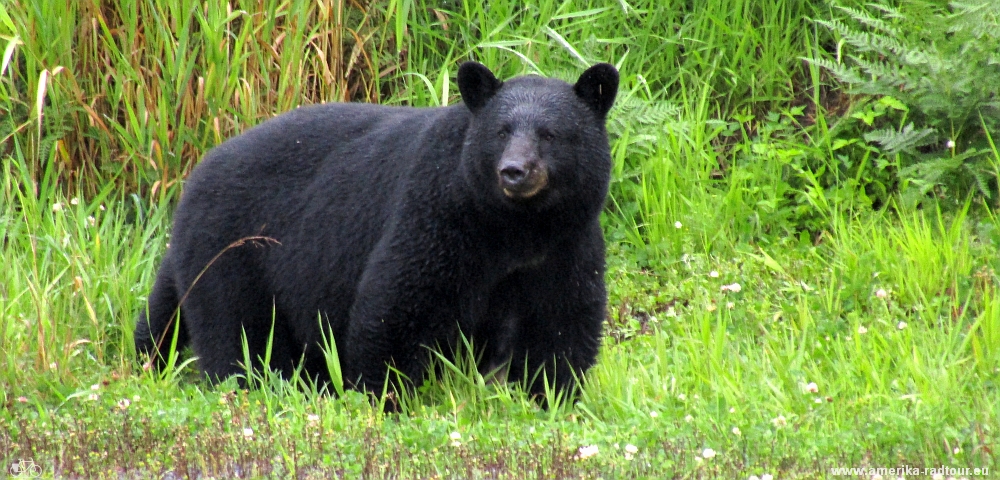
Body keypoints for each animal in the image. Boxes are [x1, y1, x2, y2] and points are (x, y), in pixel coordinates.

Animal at [134, 62, 616, 404]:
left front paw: (550, 398)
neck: (515, 229)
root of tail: (193, 180)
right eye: (500, 132)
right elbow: (397, 304)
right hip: (233, 251)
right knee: (237, 335)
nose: (514, 171)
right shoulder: (437, 218)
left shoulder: (565, 246)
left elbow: (560, 323)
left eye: (551, 134)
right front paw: (384, 397)